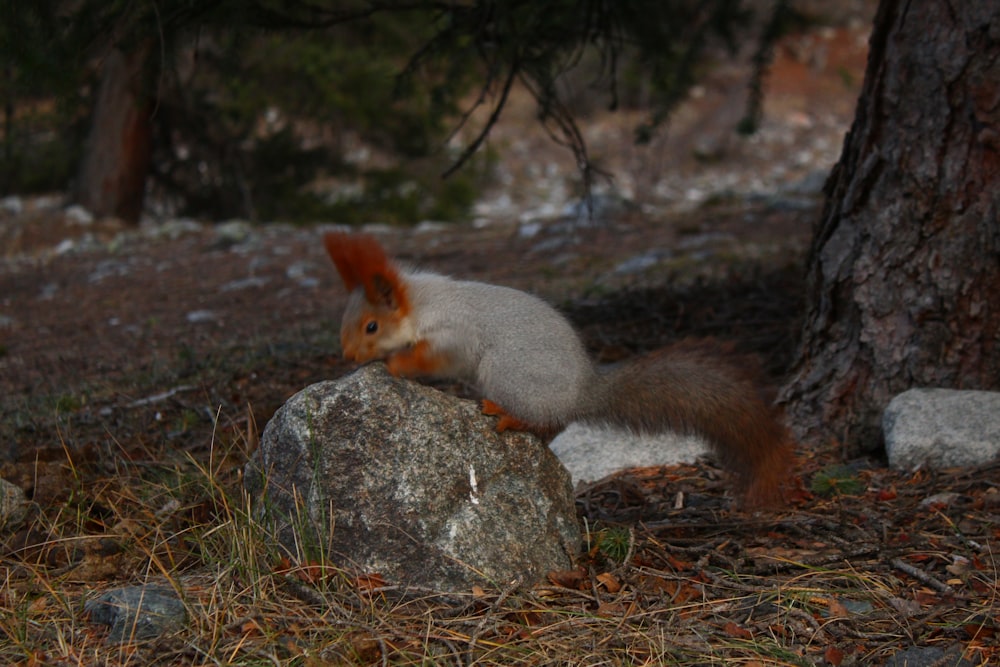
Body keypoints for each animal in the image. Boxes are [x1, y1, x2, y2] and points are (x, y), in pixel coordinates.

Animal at [324, 231, 792, 506]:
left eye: (371, 326)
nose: (348, 357)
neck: (423, 304)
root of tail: (584, 392)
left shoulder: (453, 334)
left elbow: (434, 358)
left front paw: (396, 364)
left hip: (506, 373)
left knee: (546, 423)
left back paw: (510, 417)